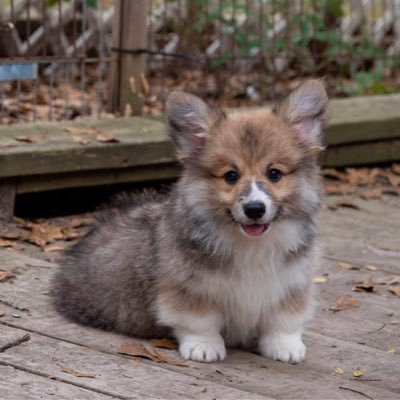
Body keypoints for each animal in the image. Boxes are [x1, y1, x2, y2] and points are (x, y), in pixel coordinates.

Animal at [52, 79, 328, 364]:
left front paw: (285, 346)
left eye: (274, 173)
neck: (251, 245)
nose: (254, 209)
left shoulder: (291, 283)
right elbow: (199, 320)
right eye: (230, 176)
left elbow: (283, 320)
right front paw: (203, 346)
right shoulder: (189, 288)